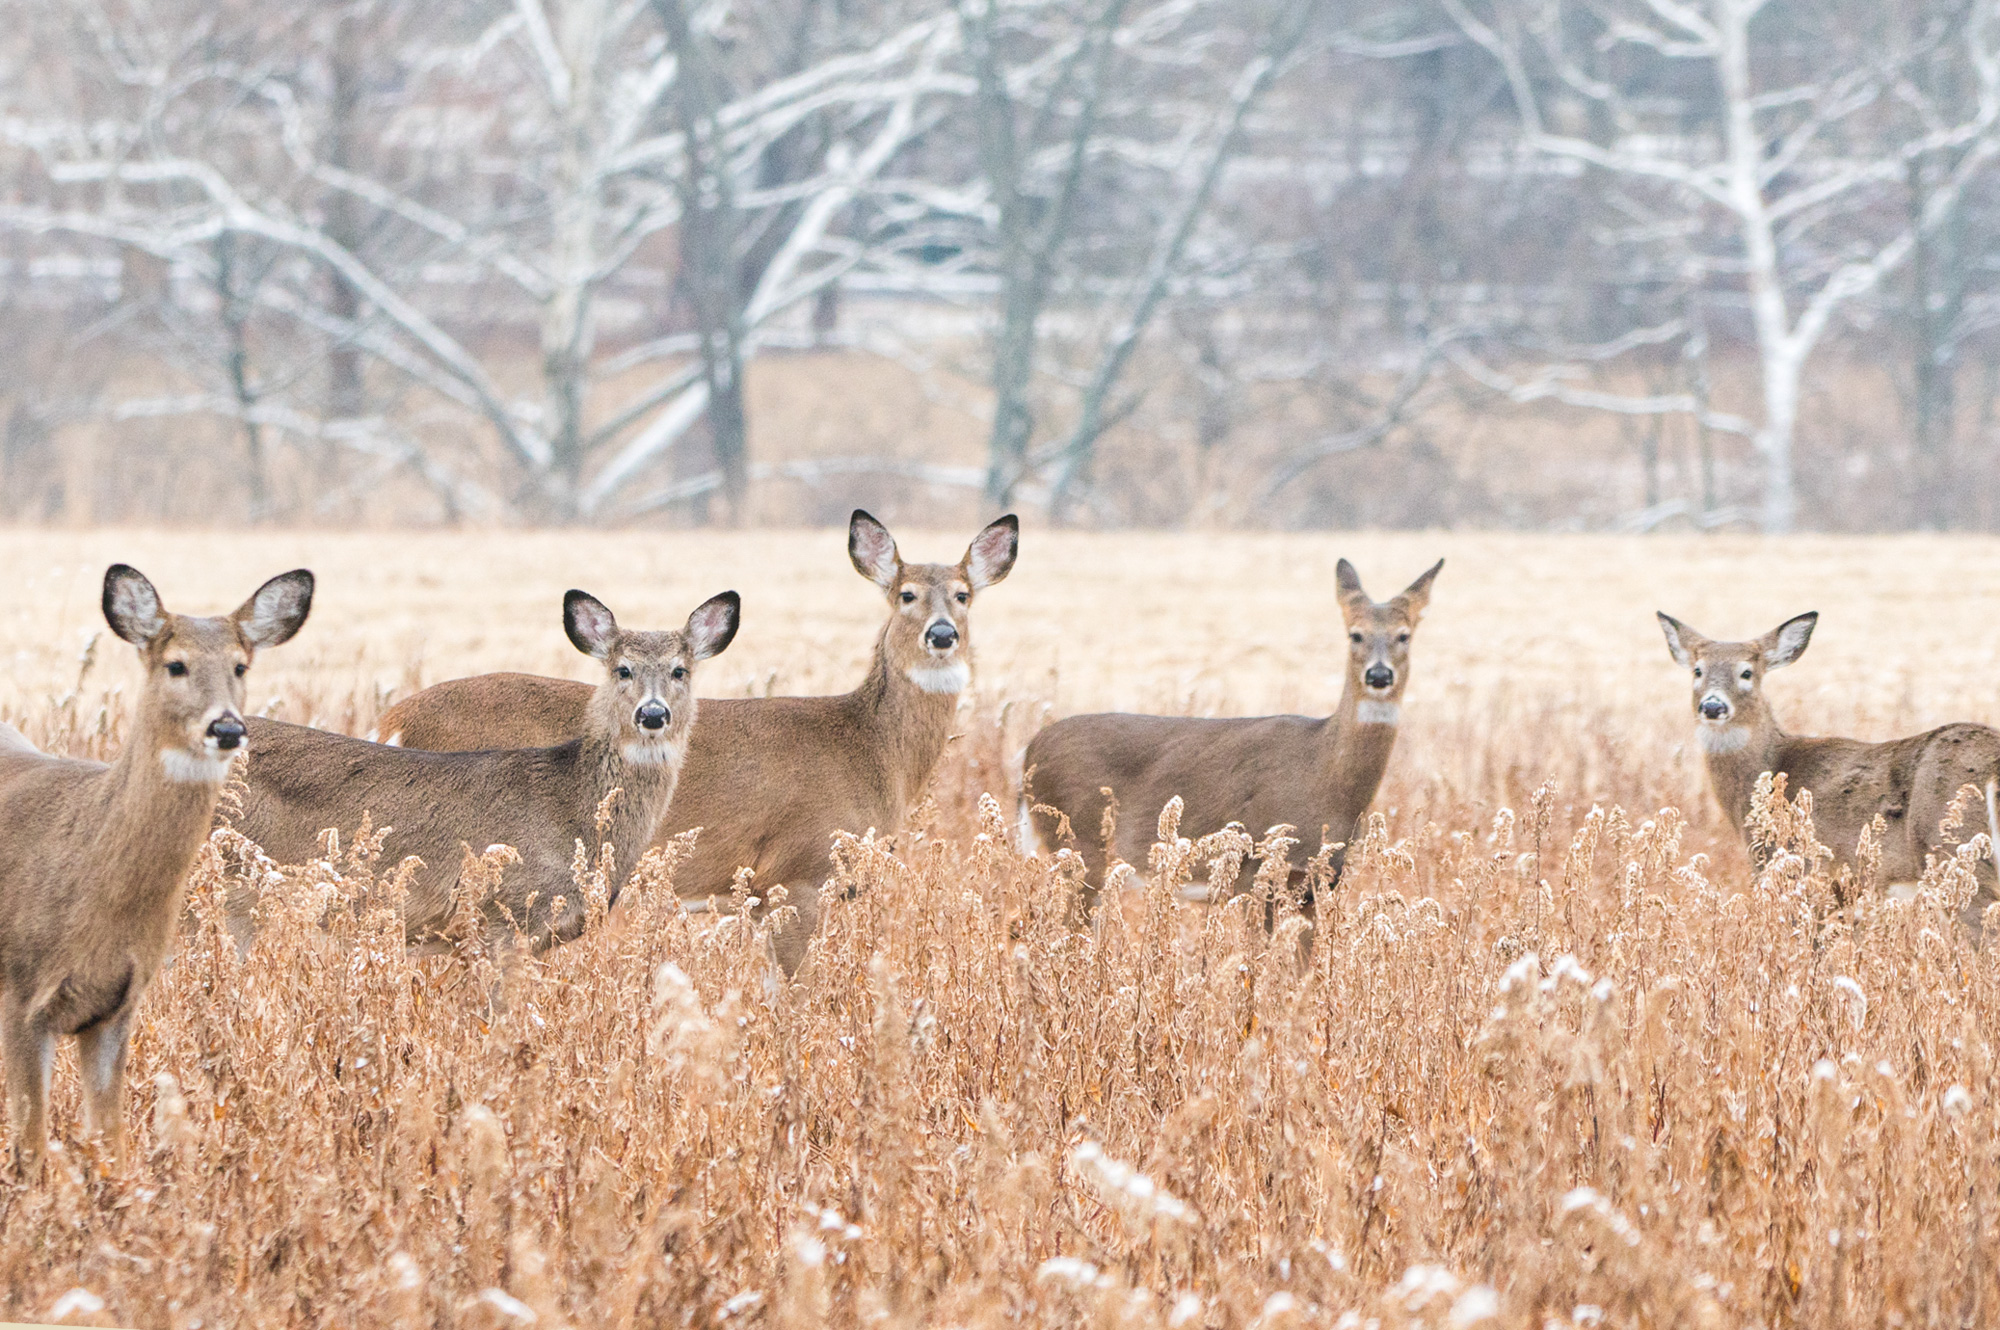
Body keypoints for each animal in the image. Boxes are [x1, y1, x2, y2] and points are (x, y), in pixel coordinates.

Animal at [0, 560, 314, 1176]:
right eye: (177, 665)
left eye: (240, 666)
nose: (227, 728)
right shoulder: (20, 999)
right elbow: (32, 1148)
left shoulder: (118, 1006)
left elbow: (110, 1143)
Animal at [368, 512, 1016, 972]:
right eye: (906, 594)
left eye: (963, 594)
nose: (942, 635)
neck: (870, 748)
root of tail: (393, 716)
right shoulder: (796, 871)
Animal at [1032, 556, 1440, 912]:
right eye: (1355, 635)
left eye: (1404, 636)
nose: (1379, 675)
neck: (1323, 775)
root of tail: (1029, 754)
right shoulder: (1253, 873)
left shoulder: (1318, 883)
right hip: (1079, 848)